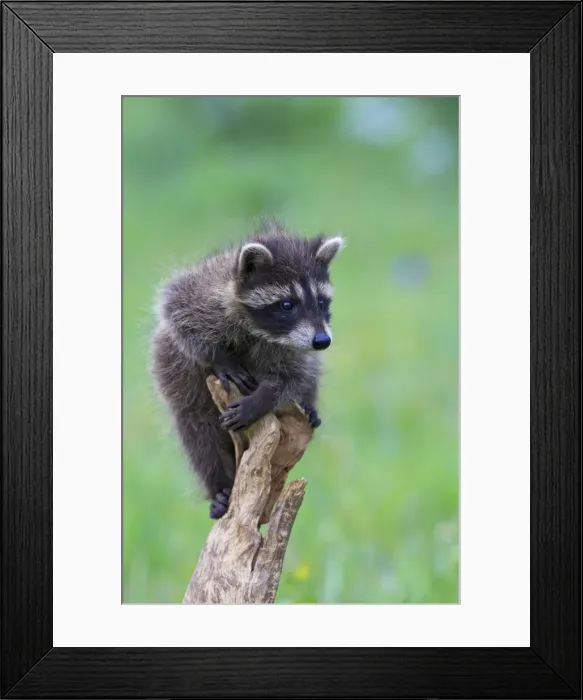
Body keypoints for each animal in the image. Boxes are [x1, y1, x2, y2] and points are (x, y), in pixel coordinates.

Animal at [150, 220, 343, 519]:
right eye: (287, 305)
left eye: (322, 303)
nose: (322, 341)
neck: (258, 328)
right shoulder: (203, 291)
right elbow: (175, 309)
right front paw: (218, 357)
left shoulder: (293, 346)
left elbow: (294, 375)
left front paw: (264, 397)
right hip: (175, 374)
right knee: (198, 433)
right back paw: (218, 485)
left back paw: (307, 405)